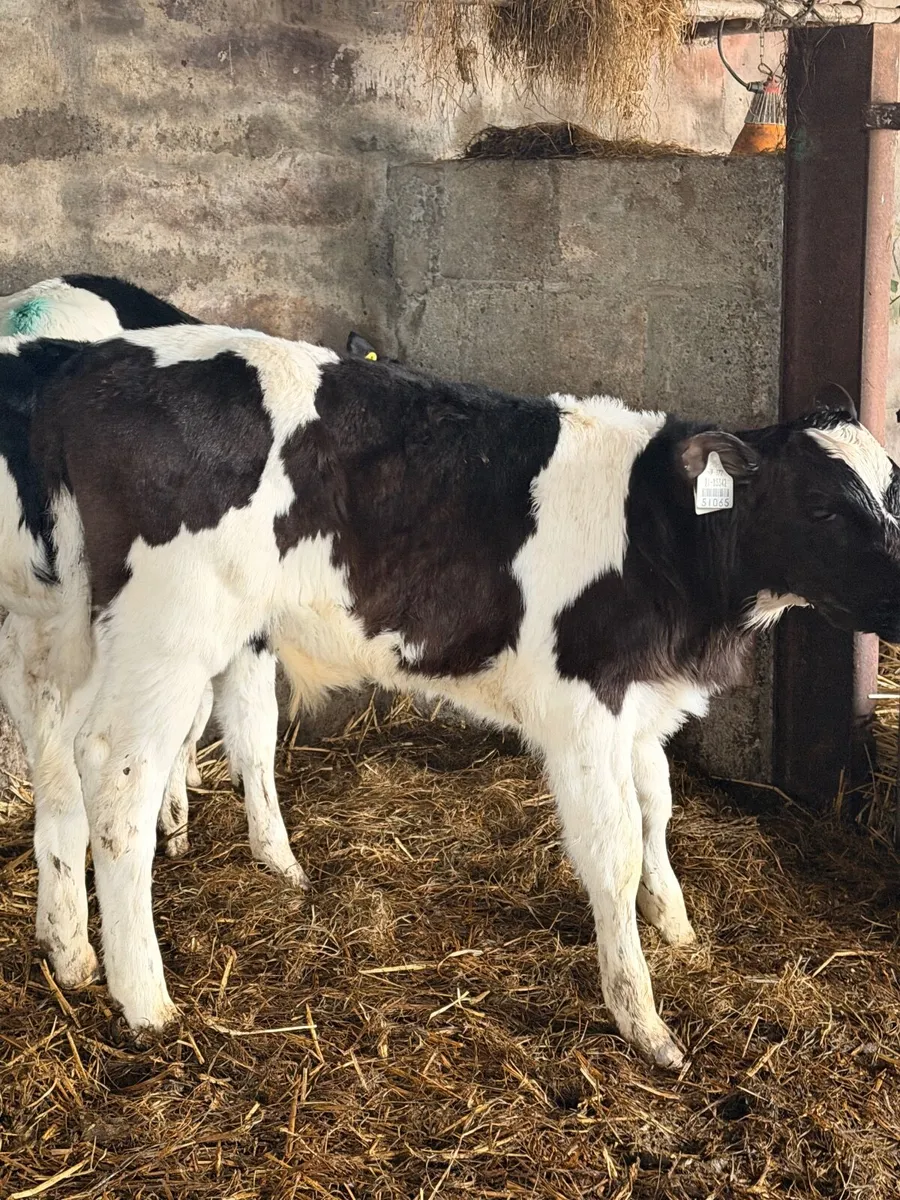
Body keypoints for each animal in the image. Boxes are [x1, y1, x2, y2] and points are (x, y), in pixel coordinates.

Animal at [28, 323, 900, 1067]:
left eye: (891, 487)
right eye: (822, 505)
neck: (662, 536)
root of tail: (97, 359)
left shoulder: (642, 703)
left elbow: (658, 809)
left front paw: (677, 925)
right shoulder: (582, 706)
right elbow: (613, 849)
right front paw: (642, 1017)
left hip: (90, 626)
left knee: (61, 751)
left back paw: (69, 950)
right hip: (171, 627)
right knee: (116, 776)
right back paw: (144, 998)